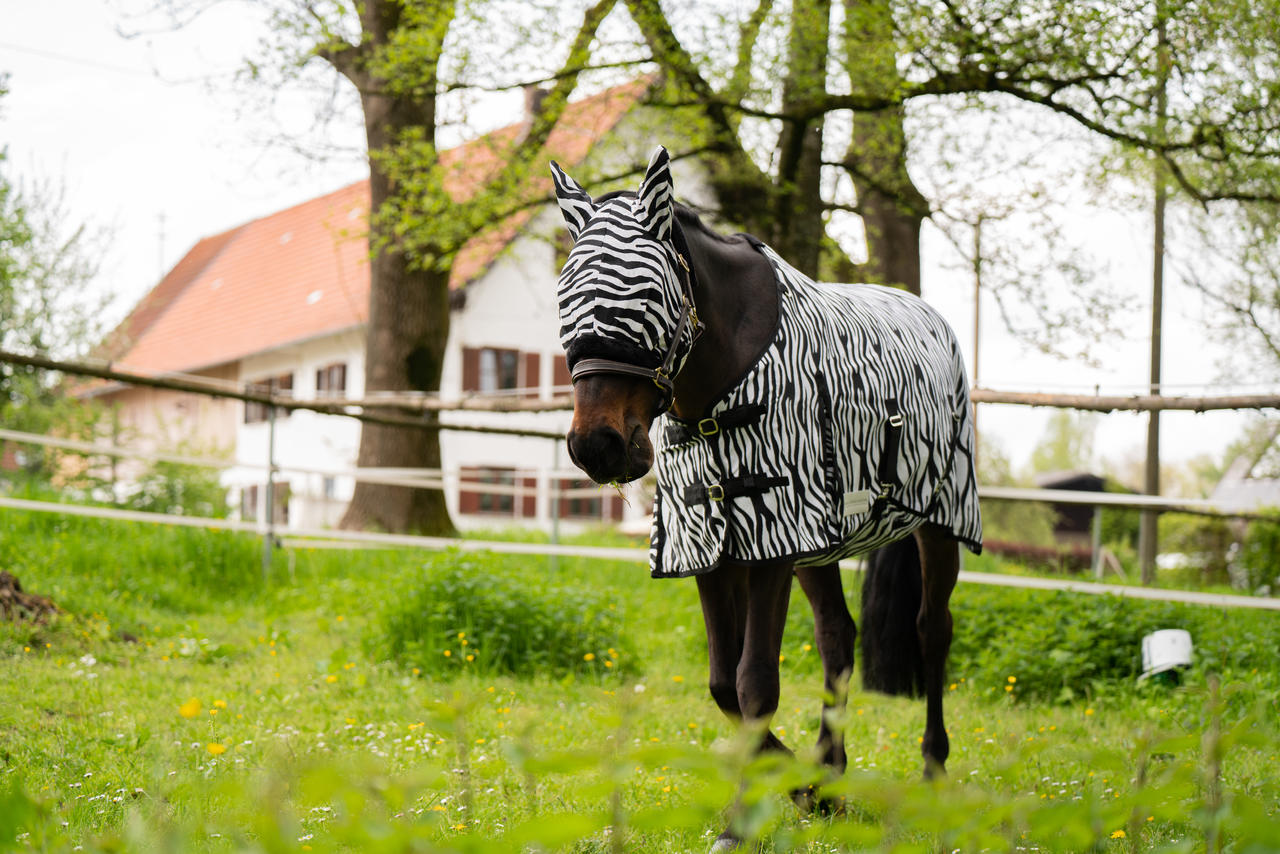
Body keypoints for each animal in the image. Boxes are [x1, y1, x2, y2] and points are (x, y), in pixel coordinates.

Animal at [547, 147, 977, 850]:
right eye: (564, 297)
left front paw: (740, 823)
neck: (719, 385)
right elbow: (725, 684)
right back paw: (830, 772)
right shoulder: (713, 545)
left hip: (938, 525)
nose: (598, 447)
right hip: (823, 544)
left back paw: (933, 768)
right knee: (837, 636)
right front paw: (803, 784)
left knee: (931, 631)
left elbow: (755, 685)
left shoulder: (773, 544)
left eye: (646, 297)